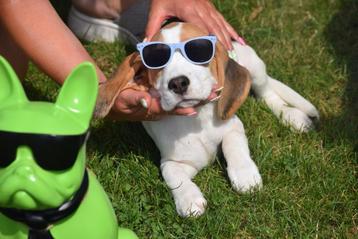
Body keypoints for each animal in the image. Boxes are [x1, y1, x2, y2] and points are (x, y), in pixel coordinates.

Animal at [95, 23, 318, 218]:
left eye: (198, 52)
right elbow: (172, 173)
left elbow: (233, 145)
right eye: (157, 60)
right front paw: (188, 200)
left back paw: (292, 117)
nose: (178, 83)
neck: (197, 119)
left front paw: (245, 175)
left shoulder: (234, 126)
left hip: (255, 67)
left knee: (267, 94)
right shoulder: (177, 161)